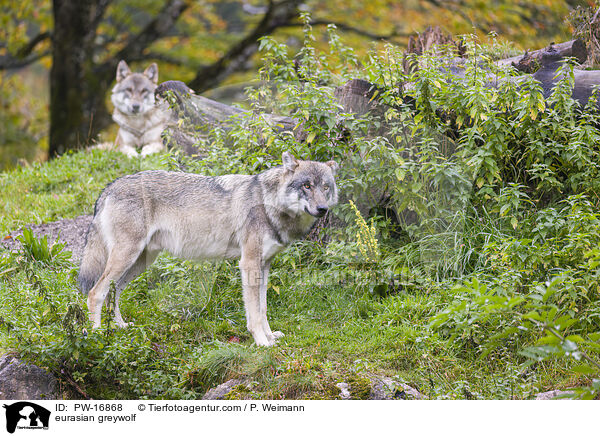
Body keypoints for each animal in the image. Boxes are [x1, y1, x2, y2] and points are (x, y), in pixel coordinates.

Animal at [77, 152, 338, 346]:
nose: (322, 209)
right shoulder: (249, 263)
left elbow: (263, 308)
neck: (269, 204)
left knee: (113, 291)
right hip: (127, 257)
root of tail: (110, 186)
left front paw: (271, 336)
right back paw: (97, 333)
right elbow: (254, 312)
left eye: (325, 187)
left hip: (139, 262)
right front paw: (262, 342)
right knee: (96, 292)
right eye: (306, 186)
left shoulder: (264, 265)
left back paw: (120, 326)